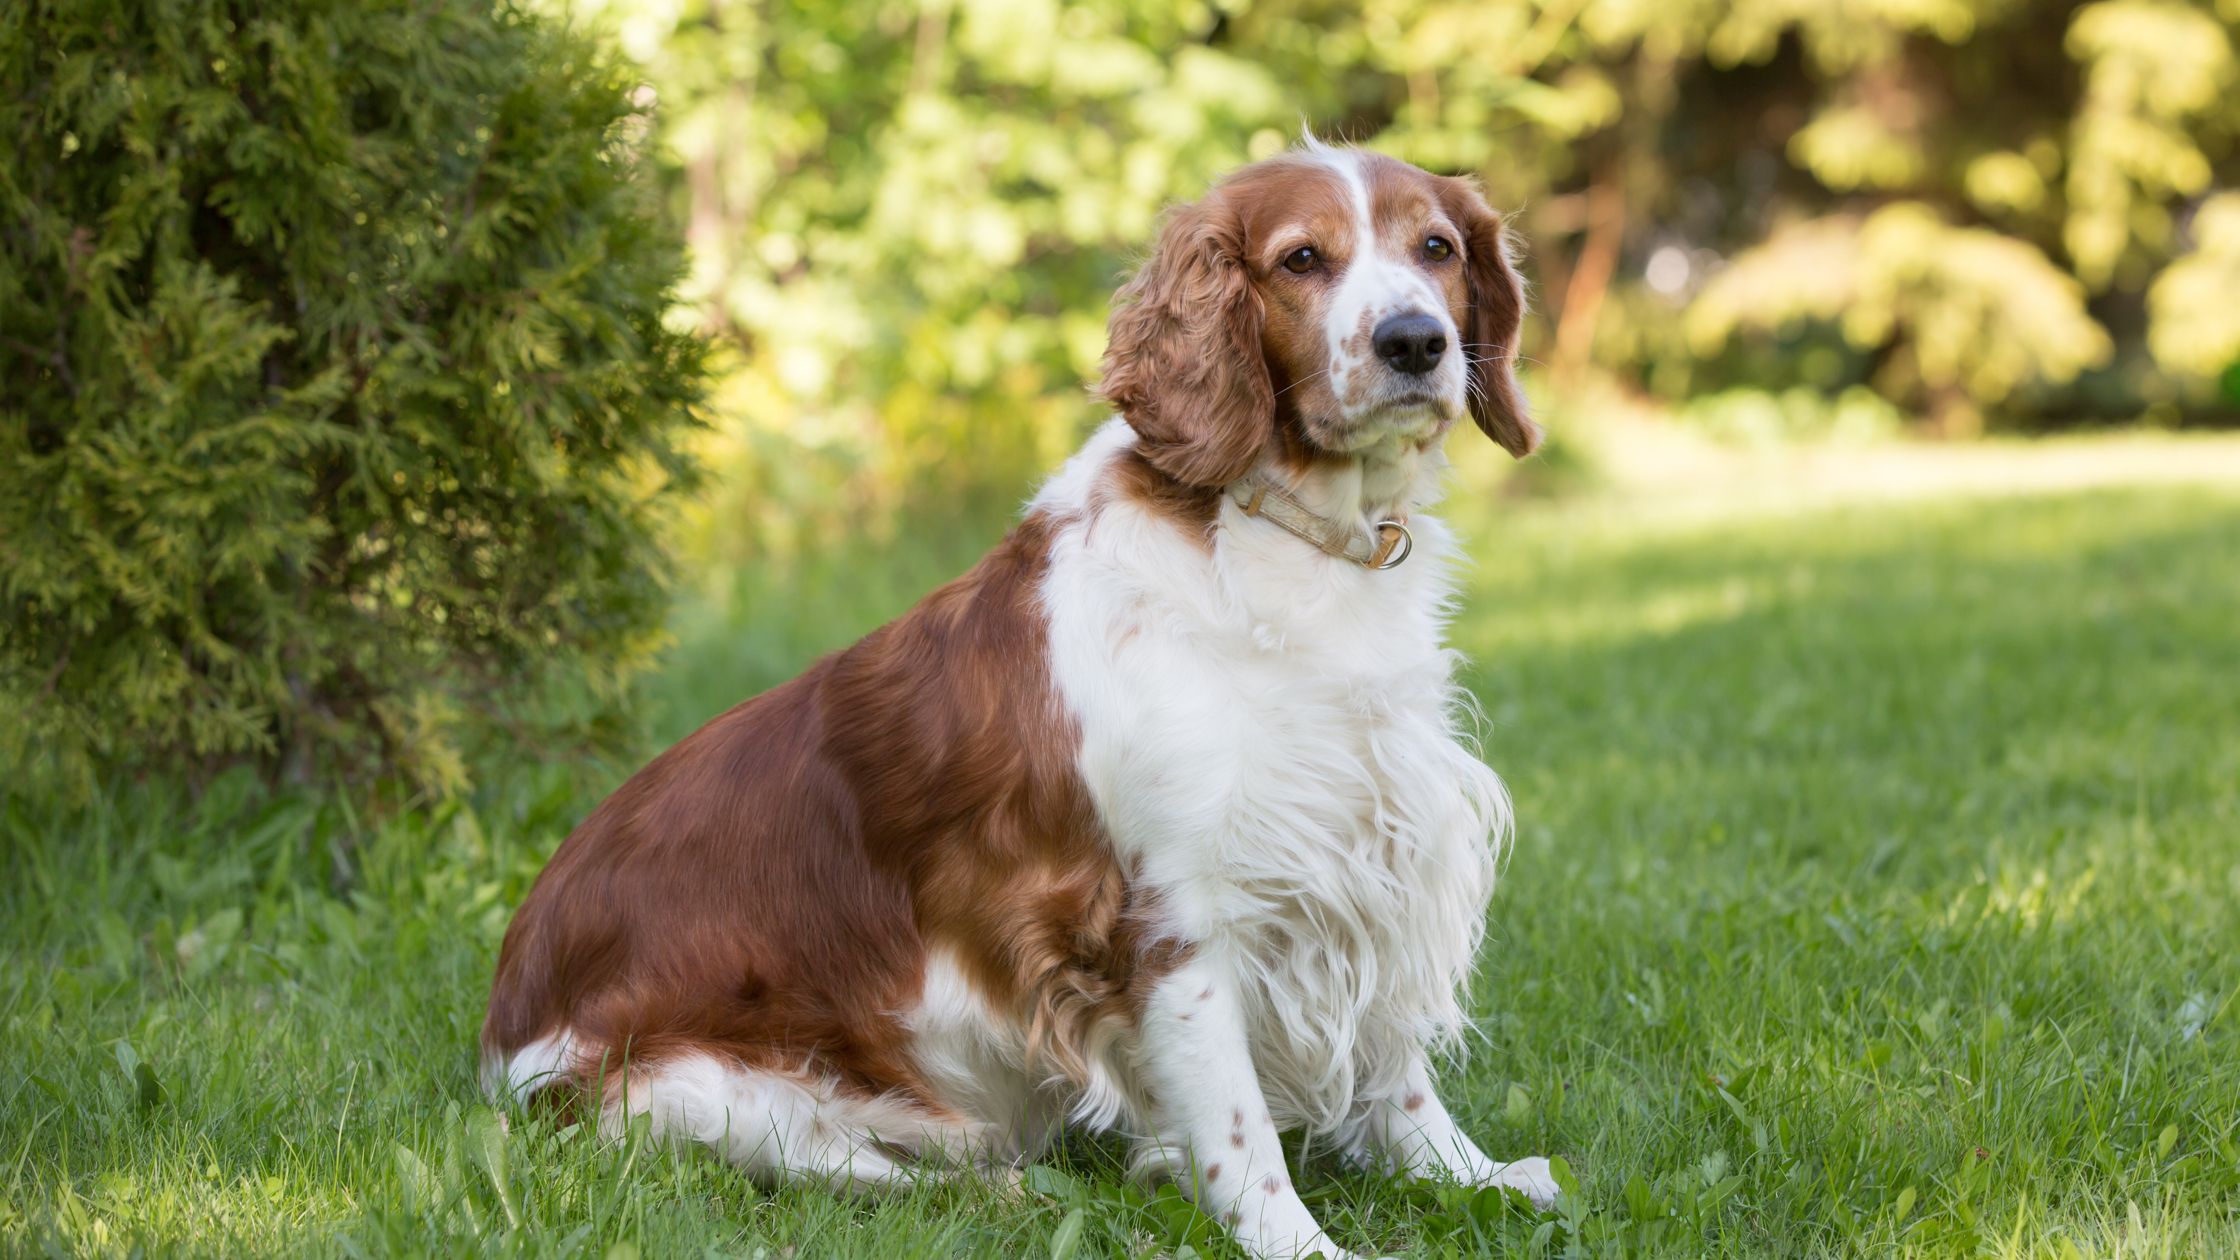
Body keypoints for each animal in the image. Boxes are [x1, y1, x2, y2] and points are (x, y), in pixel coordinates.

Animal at [481, 137, 1550, 1255]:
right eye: (1302, 258)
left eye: (1435, 247)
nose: (1414, 342)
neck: (1291, 543)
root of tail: (500, 1033)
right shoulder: (1176, 916)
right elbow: (1236, 1128)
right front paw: (1297, 1242)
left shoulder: (1377, 847)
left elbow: (1399, 1072)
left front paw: (1469, 1175)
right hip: (706, 1094)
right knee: (871, 1173)